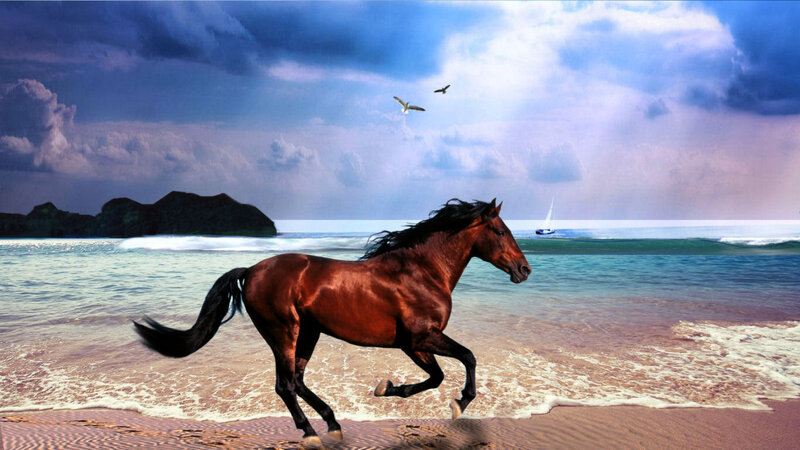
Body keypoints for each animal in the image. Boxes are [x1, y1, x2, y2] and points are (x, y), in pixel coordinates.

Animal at [133, 198, 531, 447]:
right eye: (500, 231)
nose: (524, 269)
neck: (421, 271)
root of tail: (251, 270)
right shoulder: (420, 338)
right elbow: (466, 359)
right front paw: (459, 403)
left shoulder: (412, 344)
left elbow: (436, 376)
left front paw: (385, 388)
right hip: (284, 331)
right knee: (285, 384)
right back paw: (311, 432)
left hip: (308, 332)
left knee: (296, 380)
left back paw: (333, 423)